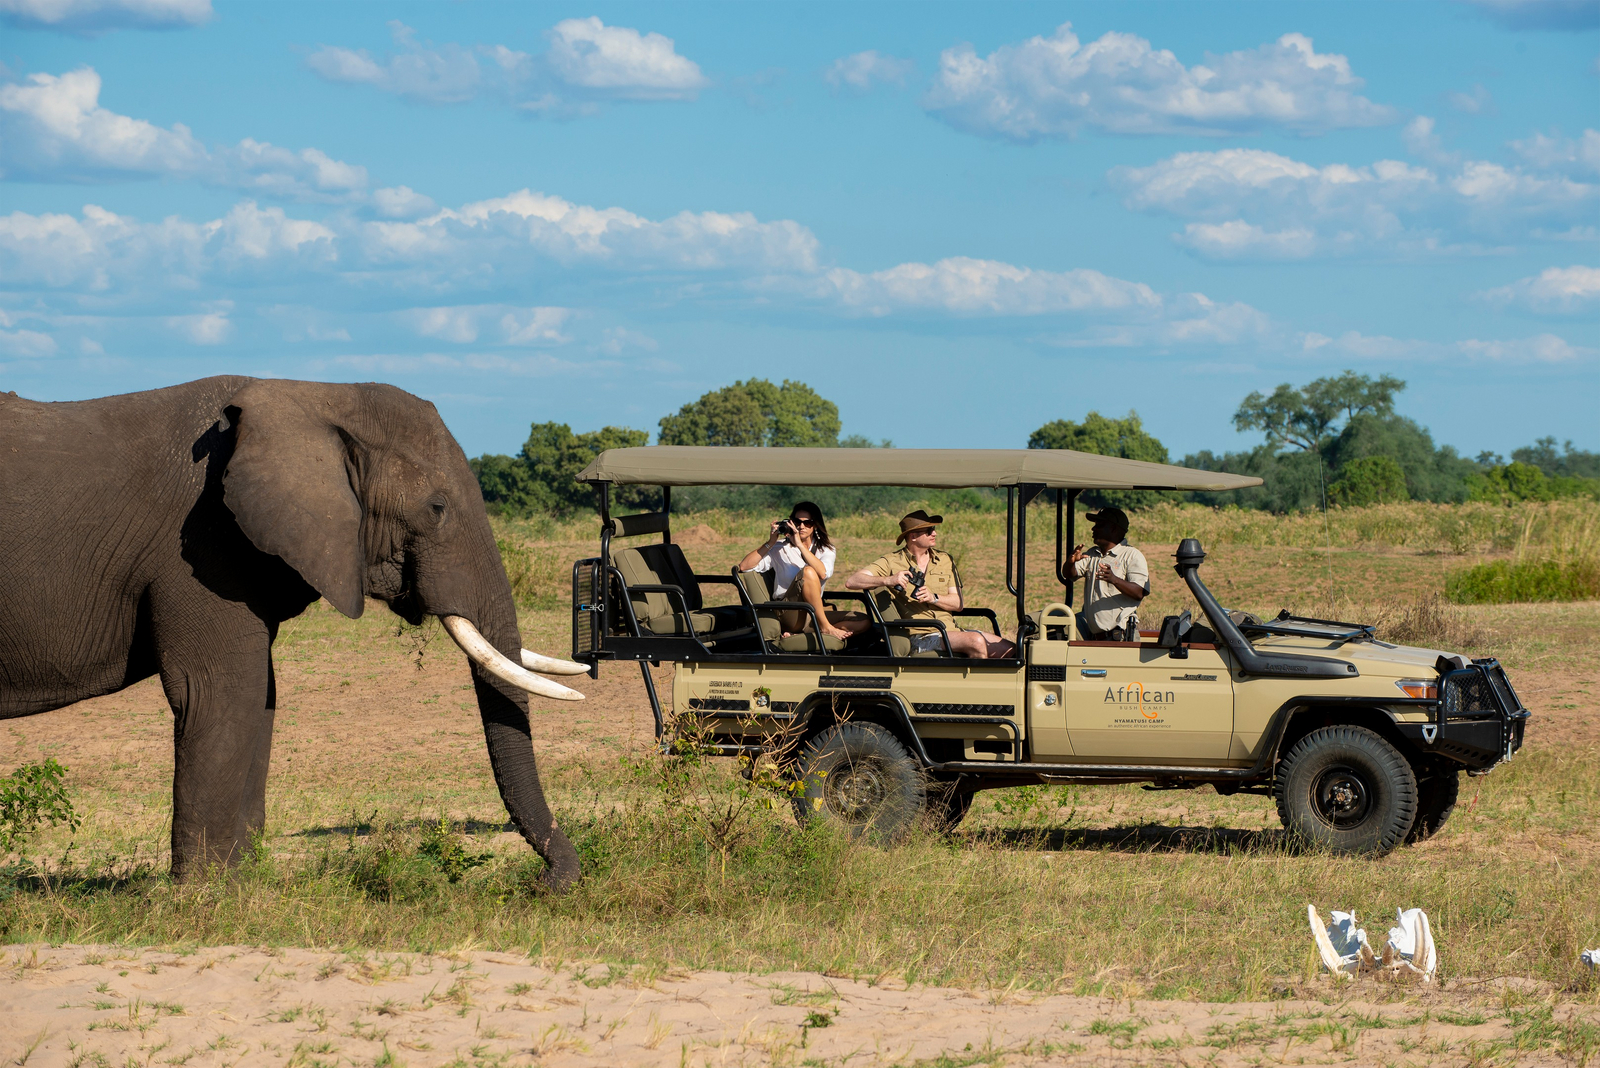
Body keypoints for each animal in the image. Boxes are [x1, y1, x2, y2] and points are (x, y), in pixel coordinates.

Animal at [0, 376, 586, 887]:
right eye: (437, 508)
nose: (546, 882)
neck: (314, 395)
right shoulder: (199, 548)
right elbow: (219, 692)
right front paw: (206, 898)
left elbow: (261, 696)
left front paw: (241, 884)